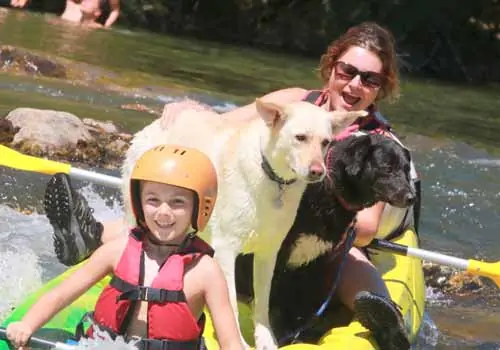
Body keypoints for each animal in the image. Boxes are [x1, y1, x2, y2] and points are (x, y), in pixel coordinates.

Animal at [121, 99, 364, 350]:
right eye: (300, 137)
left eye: (326, 142)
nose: (318, 172)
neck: (272, 177)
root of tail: (151, 126)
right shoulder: (226, 251)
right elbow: (229, 303)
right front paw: (238, 340)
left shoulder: (269, 254)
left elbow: (263, 303)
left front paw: (266, 340)